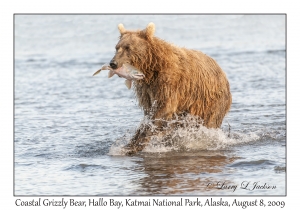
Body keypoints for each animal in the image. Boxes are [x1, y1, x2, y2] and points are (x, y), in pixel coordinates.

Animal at [108, 22, 232, 154]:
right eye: (117, 47)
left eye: (128, 48)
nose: (113, 63)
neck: (151, 68)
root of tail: (222, 72)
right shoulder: (146, 90)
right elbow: (149, 111)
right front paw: (130, 144)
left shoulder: (169, 83)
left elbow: (163, 109)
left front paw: (134, 145)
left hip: (209, 101)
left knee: (208, 122)